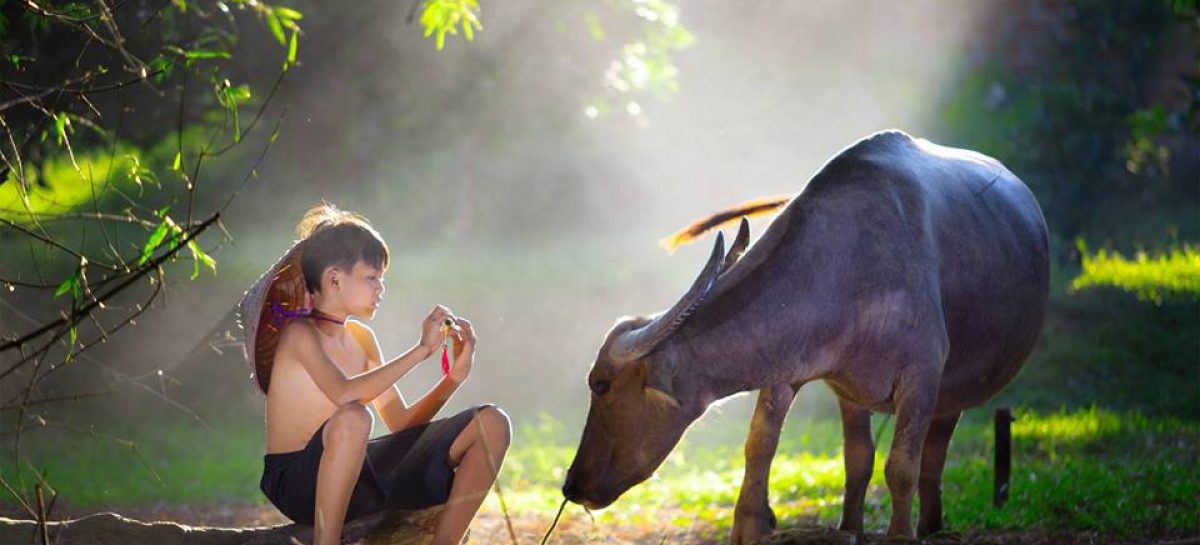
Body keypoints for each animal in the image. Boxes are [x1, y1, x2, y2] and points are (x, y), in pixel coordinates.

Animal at [556, 130, 1046, 540]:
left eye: (600, 385)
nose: (572, 484)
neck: (849, 268)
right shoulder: (789, 372)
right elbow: (760, 446)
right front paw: (753, 524)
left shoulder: (922, 378)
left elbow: (902, 466)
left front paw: (900, 534)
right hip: (856, 396)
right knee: (859, 457)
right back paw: (860, 526)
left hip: (955, 390)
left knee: (932, 455)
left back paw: (929, 527)